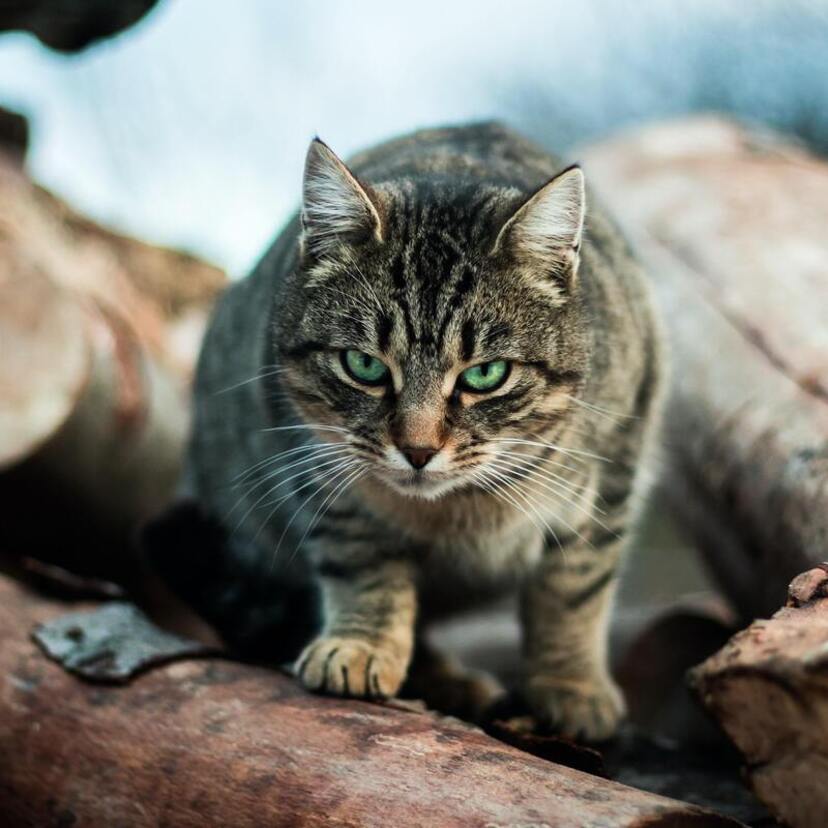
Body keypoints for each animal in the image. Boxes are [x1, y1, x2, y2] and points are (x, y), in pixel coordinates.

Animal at [160, 121, 668, 736]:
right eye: (364, 365)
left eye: (485, 374)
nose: (418, 449)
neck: (459, 513)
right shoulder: (318, 469)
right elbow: (364, 565)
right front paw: (361, 646)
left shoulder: (615, 467)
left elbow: (574, 588)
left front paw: (570, 684)